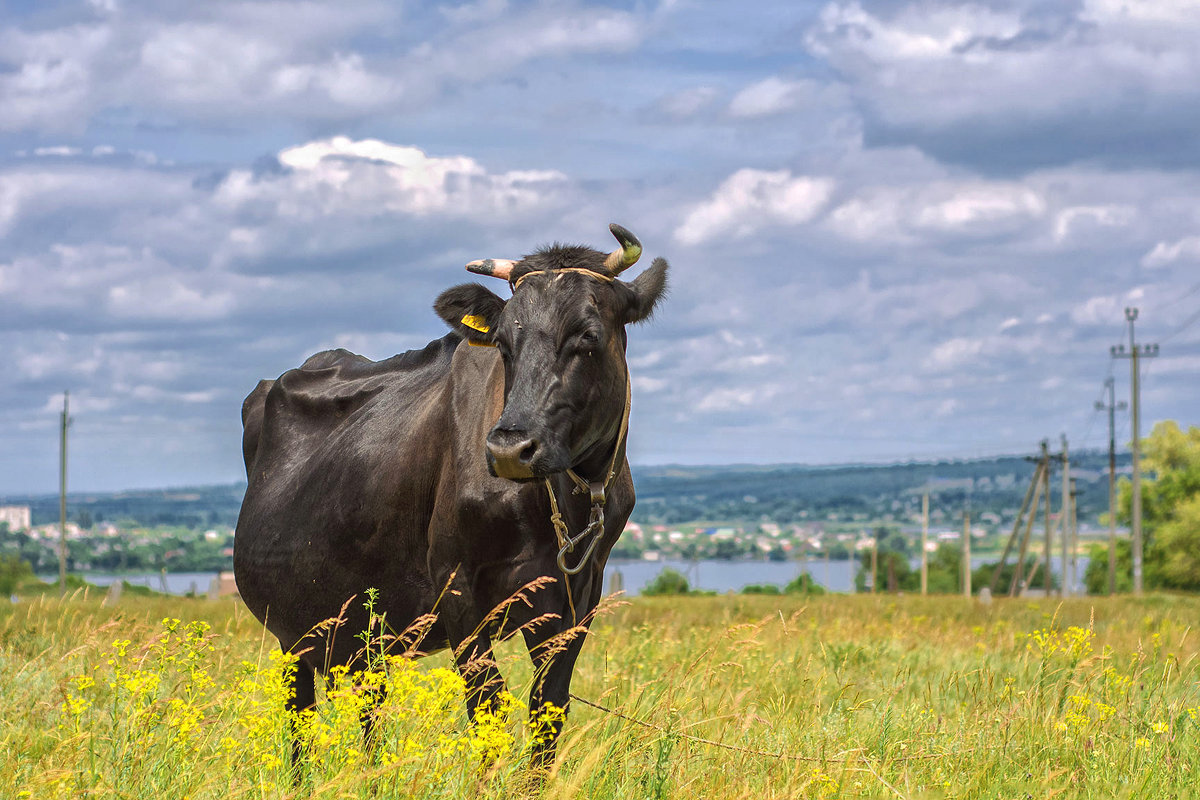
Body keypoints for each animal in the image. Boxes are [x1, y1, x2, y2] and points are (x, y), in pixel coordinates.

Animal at [234, 224, 667, 767]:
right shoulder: (458, 590)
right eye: (503, 342)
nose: (508, 449)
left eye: (588, 336)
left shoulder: (578, 599)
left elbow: (547, 712)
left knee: (370, 709)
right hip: (291, 630)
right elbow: (489, 710)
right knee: (299, 722)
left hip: (364, 632)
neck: (554, 503)